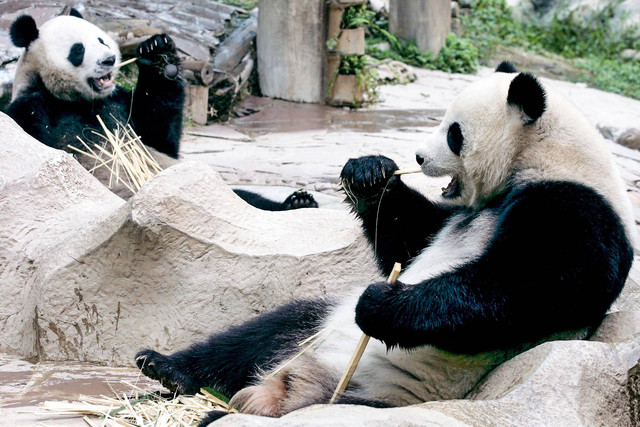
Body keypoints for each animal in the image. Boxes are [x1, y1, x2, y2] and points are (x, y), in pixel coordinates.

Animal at [6, 11, 317, 211]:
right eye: (78, 50)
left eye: (101, 40)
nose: (108, 60)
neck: (78, 100)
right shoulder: (32, 108)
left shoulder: (120, 106)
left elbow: (160, 137)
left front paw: (159, 54)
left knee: (244, 200)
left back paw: (297, 202)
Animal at [135, 62, 635, 425]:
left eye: (453, 132)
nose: (417, 156)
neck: (544, 155)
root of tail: (293, 386)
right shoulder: (457, 214)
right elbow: (409, 240)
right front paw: (369, 174)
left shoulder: (576, 207)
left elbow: (530, 286)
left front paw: (382, 305)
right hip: (313, 329)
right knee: (258, 334)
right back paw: (166, 366)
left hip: (371, 396)